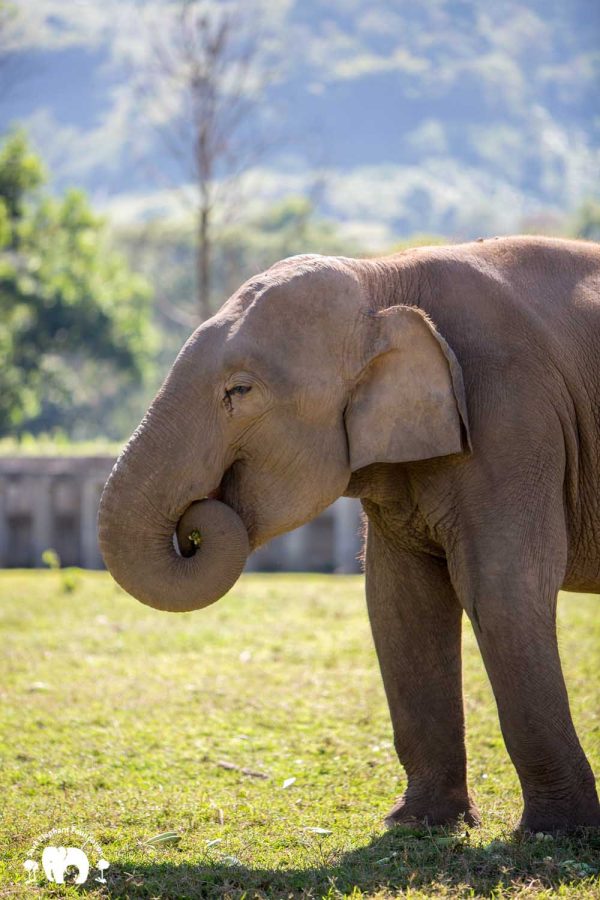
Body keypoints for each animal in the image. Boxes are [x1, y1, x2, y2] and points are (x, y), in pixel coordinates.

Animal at [98, 236, 600, 832]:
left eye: (239, 390)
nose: (193, 527)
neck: (382, 277)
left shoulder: (514, 420)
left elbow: (504, 591)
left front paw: (556, 833)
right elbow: (399, 602)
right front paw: (418, 823)